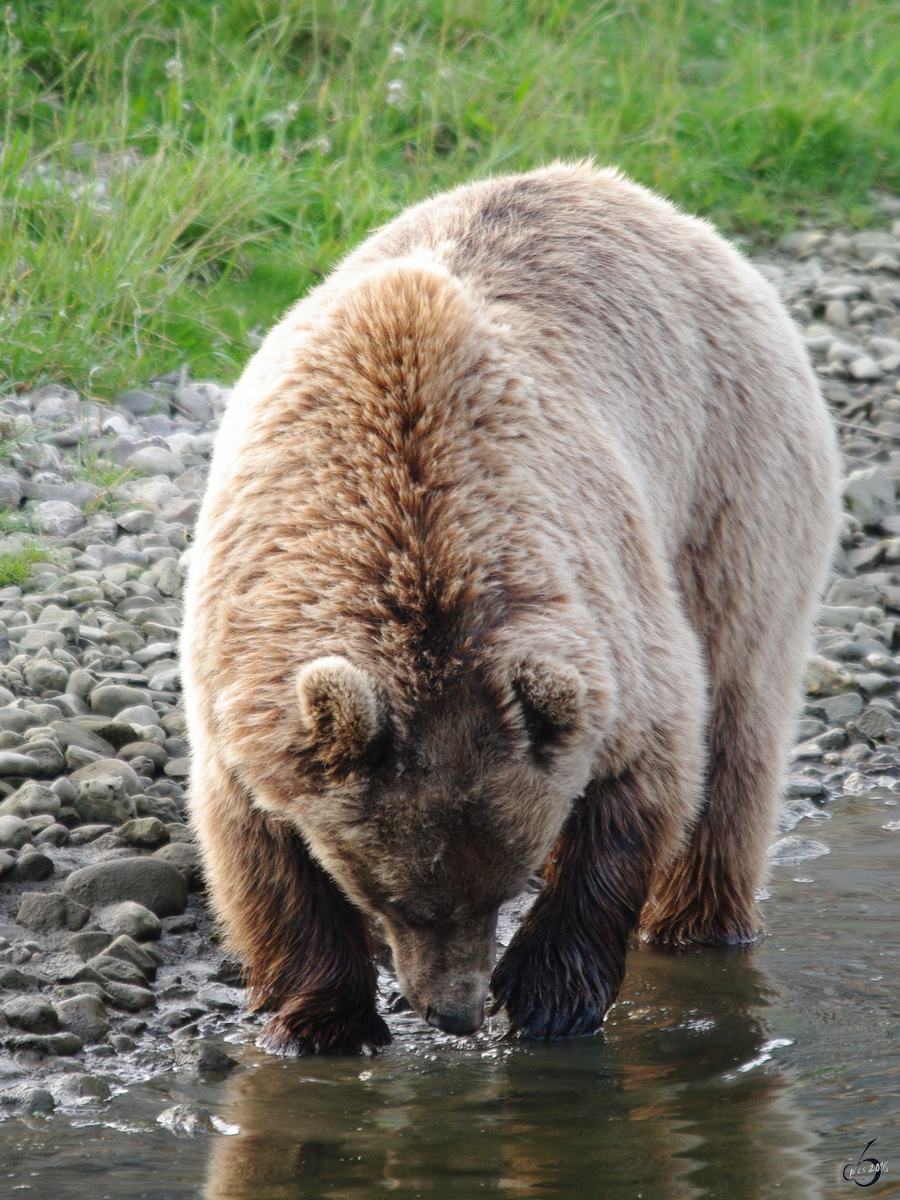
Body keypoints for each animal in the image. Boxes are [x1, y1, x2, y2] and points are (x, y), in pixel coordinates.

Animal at [181, 164, 840, 1056]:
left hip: (731, 483)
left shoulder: (604, 612)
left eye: (504, 884)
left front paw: (548, 995)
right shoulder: (243, 656)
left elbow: (648, 768)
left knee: (737, 711)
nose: (452, 1012)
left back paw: (699, 922)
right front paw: (322, 1020)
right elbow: (261, 846)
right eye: (397, 899)